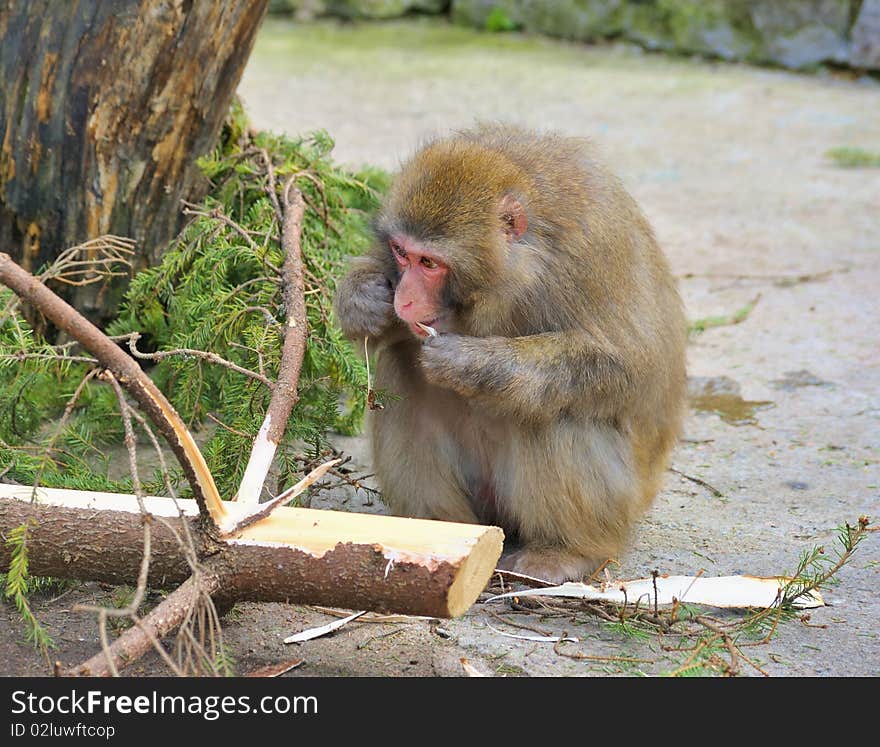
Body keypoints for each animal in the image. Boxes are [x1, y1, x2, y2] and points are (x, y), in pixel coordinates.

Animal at [334, 125, 684, 584]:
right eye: (400, 253)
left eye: (430, 263)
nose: (404, 301)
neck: (517, 269)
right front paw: (362, 299)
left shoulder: (590, 254)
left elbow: (628, 368)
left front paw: (471, 363)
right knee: (401, 366)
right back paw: (440, 529)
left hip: (619, 501)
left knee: (554, 407)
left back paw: (564, 552)